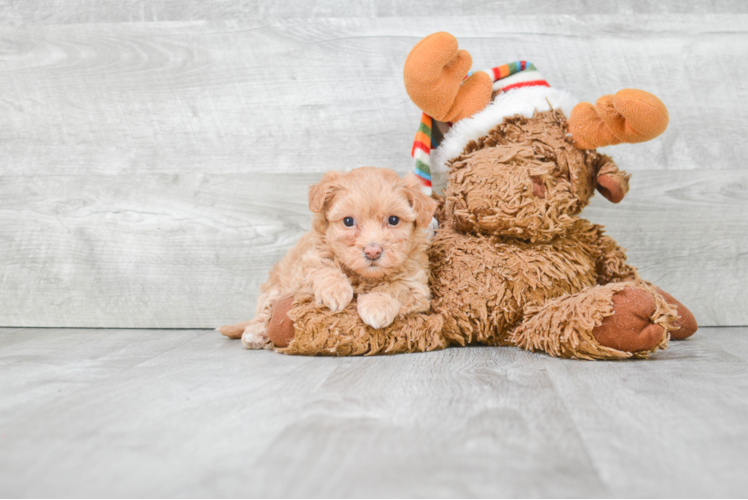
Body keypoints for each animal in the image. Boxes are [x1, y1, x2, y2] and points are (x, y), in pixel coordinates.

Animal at [216, 168, 438, 348]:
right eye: (348, 221)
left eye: (393, 220)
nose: (373, 251)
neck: (363, 276)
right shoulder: (308, 260)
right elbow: (322, 267)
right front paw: (336, 291)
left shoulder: (417, 285)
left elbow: (395, 287)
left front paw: (376, 306)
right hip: (276, 289)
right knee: (264, 314)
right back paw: (256, 333)